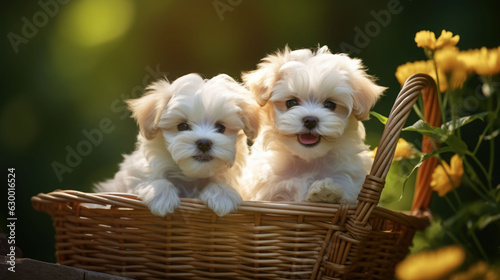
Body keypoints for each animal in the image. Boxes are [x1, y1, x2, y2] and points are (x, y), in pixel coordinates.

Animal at [98, 72, 262, 217]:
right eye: (182, 126)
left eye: (221, 127)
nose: (204, 143)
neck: (190, 176)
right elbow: (147, 179)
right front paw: (161, 194)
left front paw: (222, 194)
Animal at [244, 45, 384, 203]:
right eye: (291, 103)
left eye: (330, 105)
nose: (310, 120)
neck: (307, 161)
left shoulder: (349, 184)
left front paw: (325, 192)